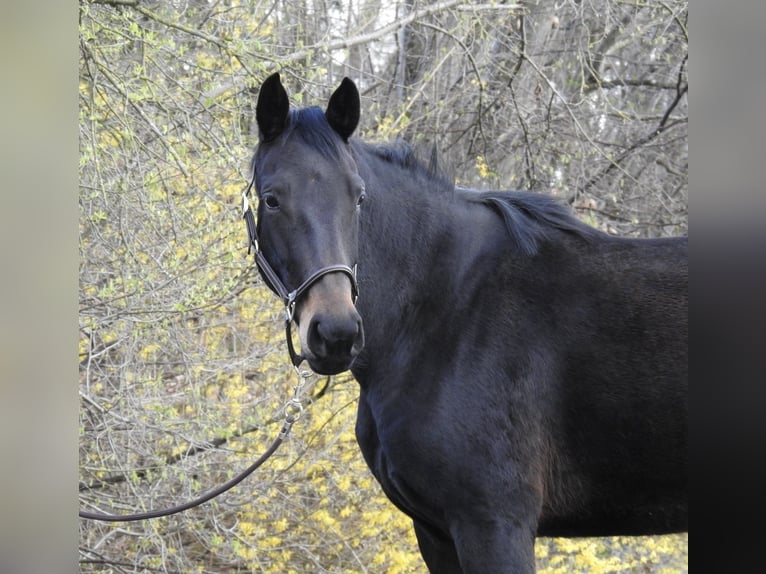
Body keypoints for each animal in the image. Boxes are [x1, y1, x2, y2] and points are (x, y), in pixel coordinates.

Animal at [249, 73, 688, 573]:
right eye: (271, 199)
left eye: (358, 197)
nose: (336, 332)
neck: (446, 308)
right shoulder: (436, 531)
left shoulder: (494, 524)